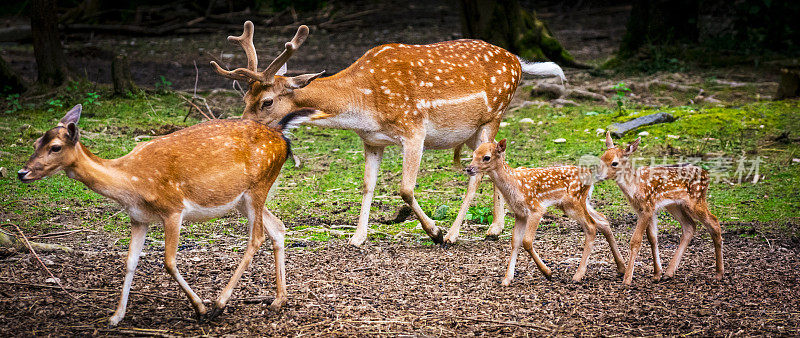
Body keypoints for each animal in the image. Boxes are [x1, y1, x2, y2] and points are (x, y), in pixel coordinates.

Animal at [19, 103, 328, 324]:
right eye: (35, 143)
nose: (22, 172)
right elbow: (129, 262)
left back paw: (219, 304)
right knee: (279, 227)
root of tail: (281, 135)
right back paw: (278, 300)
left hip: (258, 187)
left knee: (256, 238)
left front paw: (200, 308)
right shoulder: (138, 218)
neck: (132, 183)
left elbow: (168, 262)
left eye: (55, 147)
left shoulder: (173, 209)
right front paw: (116, 317)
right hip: (243, 199)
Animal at [209, 21, 564, 246]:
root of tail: (518, 61)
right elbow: (367, 186)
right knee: (497, 159)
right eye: (245, 98)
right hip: (478, 129)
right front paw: (357, 238)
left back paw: (453, 235)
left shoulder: (414, 129)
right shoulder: (371, 141)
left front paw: (434, 232)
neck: (364, 106)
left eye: (267, 101)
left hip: (493, 114)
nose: (240, 128)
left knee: (476, 175)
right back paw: (494, 229)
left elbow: (405, 188)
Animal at [466, 139, 628, 284]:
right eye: (473, 154)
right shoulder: (520, 213)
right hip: (580, 202)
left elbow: (526, 241)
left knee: (591, 226)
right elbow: (515, 242)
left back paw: (578, 275)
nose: (468, 168)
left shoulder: (536, 209)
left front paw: (547, 272)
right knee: (602, 219)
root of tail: (590, 175)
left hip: (573, 202)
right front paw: (507, 279)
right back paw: (621, 268)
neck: (515, 186)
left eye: (486, 157)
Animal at [600, 133, 724, 286]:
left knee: (714, 222)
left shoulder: (647, 209)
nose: (598, 175)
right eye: (602, 158)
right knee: (690, 226)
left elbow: (636, 240)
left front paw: (627, 279)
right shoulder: (648, 209)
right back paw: (669, 272)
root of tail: (707, 175)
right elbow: (652, 238)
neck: (635, 187)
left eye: (614, 163)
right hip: (675, 205)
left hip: (696, 200)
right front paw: (657, 274)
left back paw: (719, 273)